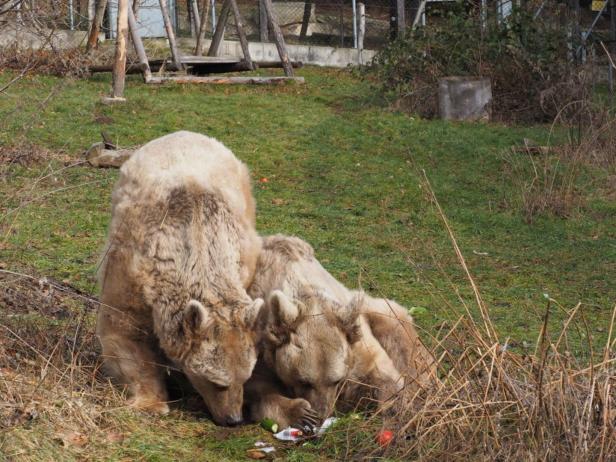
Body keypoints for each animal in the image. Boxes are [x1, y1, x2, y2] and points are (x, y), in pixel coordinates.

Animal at [95, 131, 264, 426]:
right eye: (217, 382)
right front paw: (152, 402)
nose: (234, 418)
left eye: (246, 377)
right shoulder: (132, 270)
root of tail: (183, 133)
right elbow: (123, 330)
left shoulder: (242, 259)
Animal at [245, 236, 434, 428]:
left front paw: (394, 408)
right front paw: (302, 413)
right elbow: (258, 390)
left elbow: (380, 374)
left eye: (336, 380)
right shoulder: (259, 344)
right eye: (303, 381)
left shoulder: (357, 345)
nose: (321, 414)